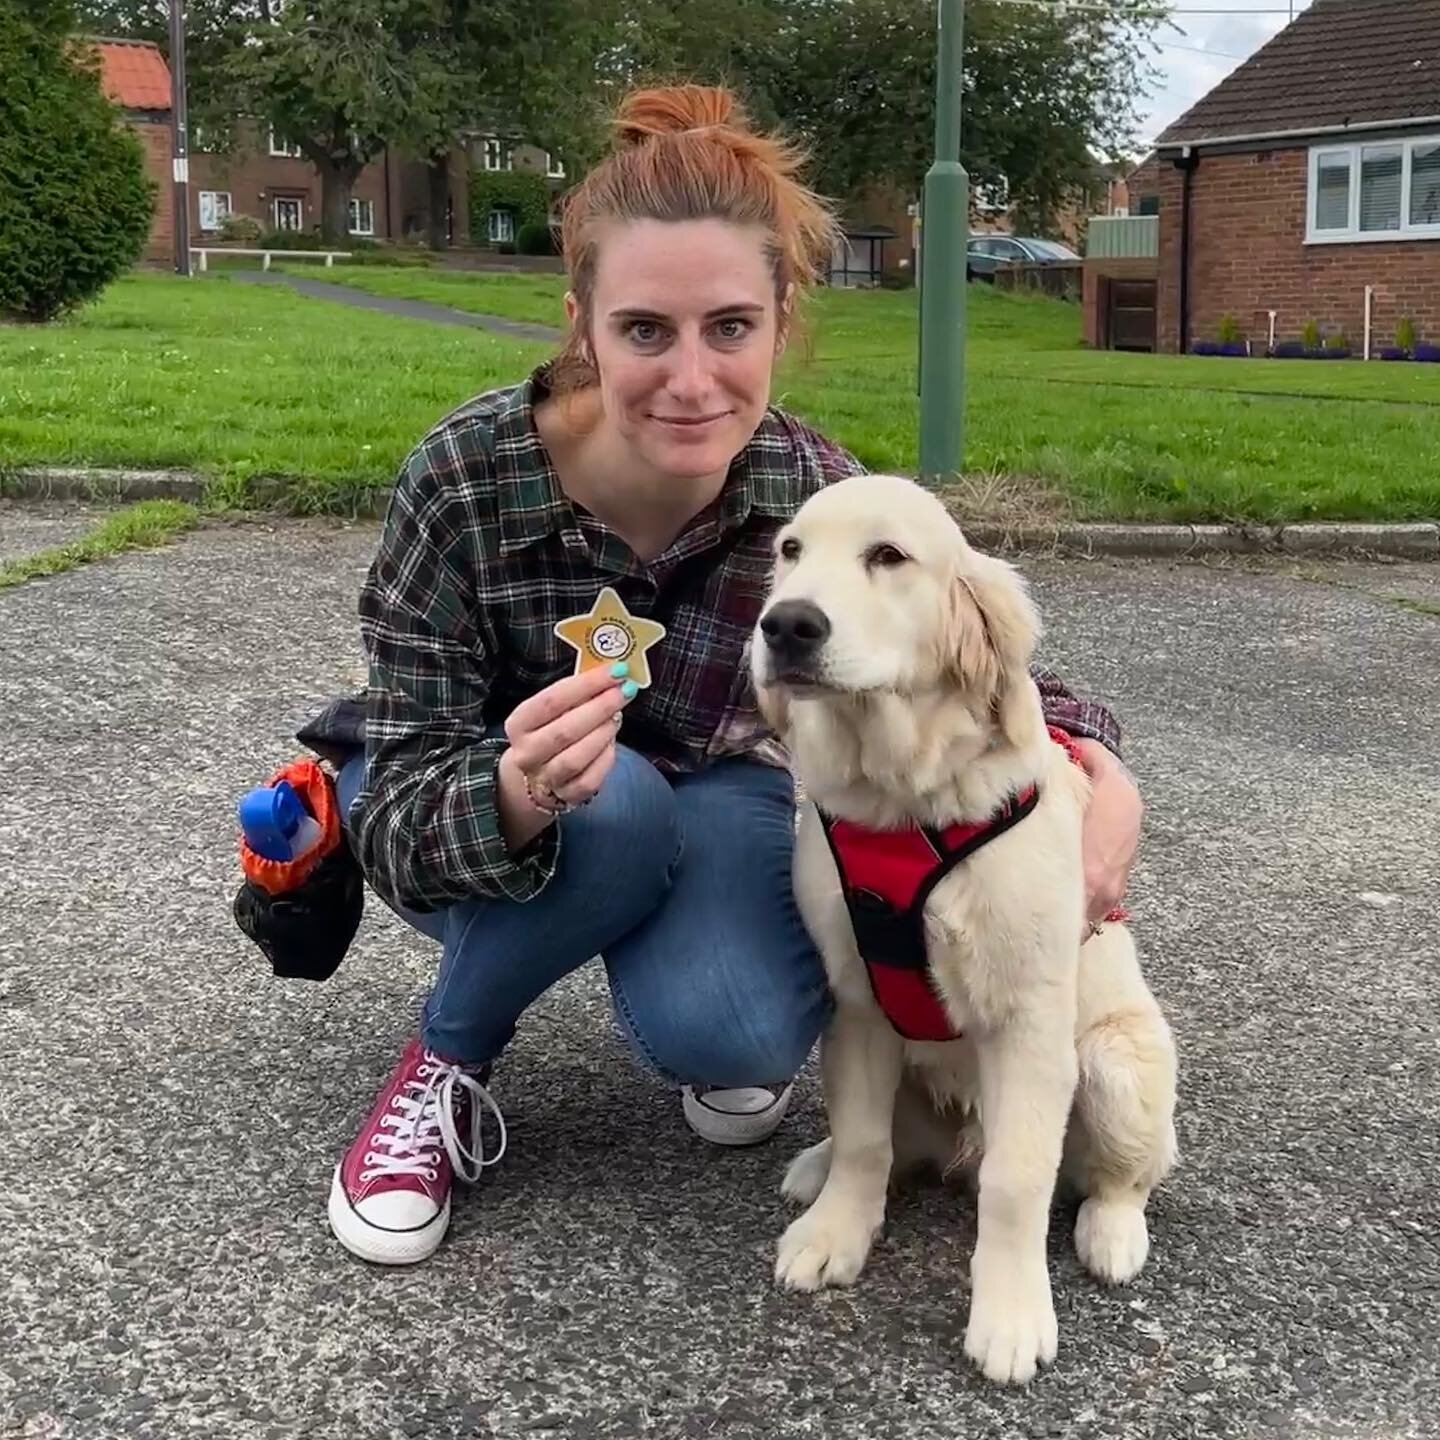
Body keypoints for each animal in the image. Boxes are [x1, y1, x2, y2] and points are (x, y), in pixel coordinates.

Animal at [748, 472, 1175, 1382]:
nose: (787, 625)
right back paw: (819, 1166)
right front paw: (836, 1233)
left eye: (888, 556)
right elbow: (864, 1140)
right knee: (886, 1146)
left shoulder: (1028, 1024)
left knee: (1122, 1175)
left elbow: (1016, 1183)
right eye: (789, 550)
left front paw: (1010, 1317)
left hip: (1116, 1064)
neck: (905, 804)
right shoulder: (856, 1002)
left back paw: (1112, 1234)